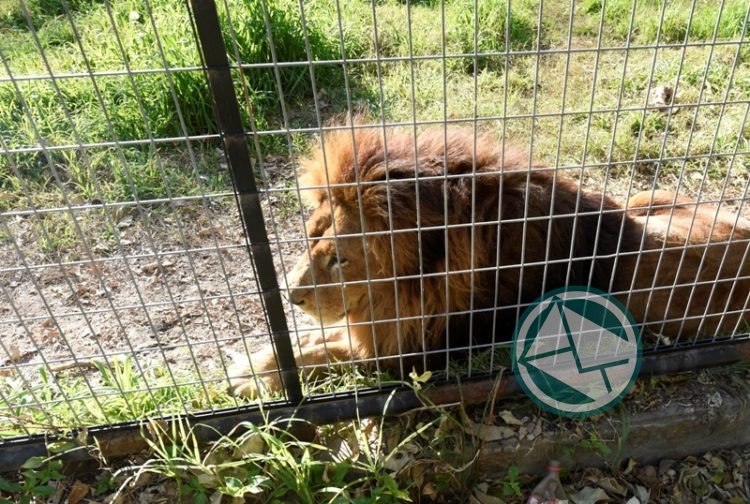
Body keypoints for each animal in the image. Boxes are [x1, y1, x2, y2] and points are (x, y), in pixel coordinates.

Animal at [229, 124, 750, 397]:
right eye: (308, 238)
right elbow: (311, 341)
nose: (291, 297)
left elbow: (323, 353)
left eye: (338, 259)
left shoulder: (415, 352)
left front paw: (250, 376)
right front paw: (250, 360)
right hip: (647, 198)